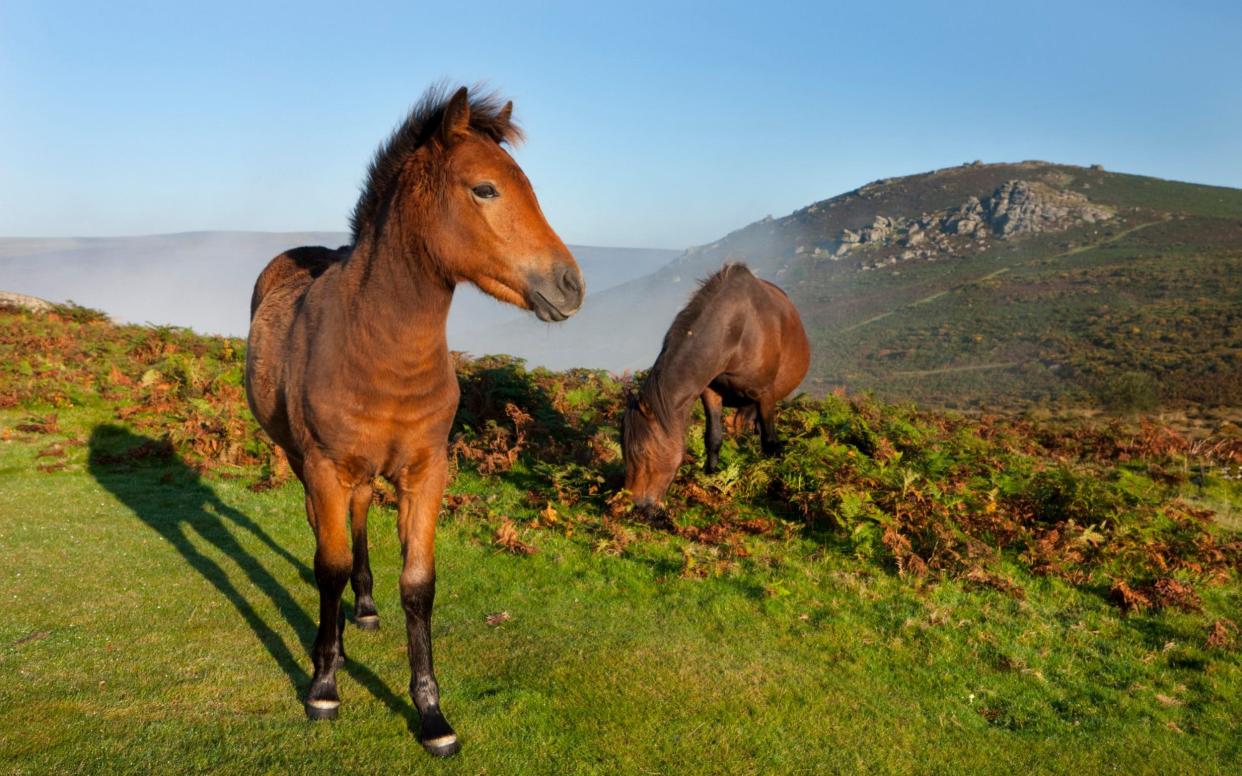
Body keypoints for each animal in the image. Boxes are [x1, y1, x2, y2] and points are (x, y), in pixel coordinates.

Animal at [249, 86, 588, 754]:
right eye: (485, 188)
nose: (570, 285)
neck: (380, 350)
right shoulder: (326, 465)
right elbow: (327, 568)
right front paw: (324, 684)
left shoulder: (427, 472)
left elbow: (418, 583)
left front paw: (432, 713)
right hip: (306, 463)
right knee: (327, 535)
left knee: (357, 521)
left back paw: (364, 608)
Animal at [621, 263, 814, 516]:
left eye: (642, 452)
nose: (637, 506)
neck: (737, 332)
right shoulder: (710, 393)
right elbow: (713, 437)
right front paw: (711, 475)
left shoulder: (765, 395)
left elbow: (770, 442)